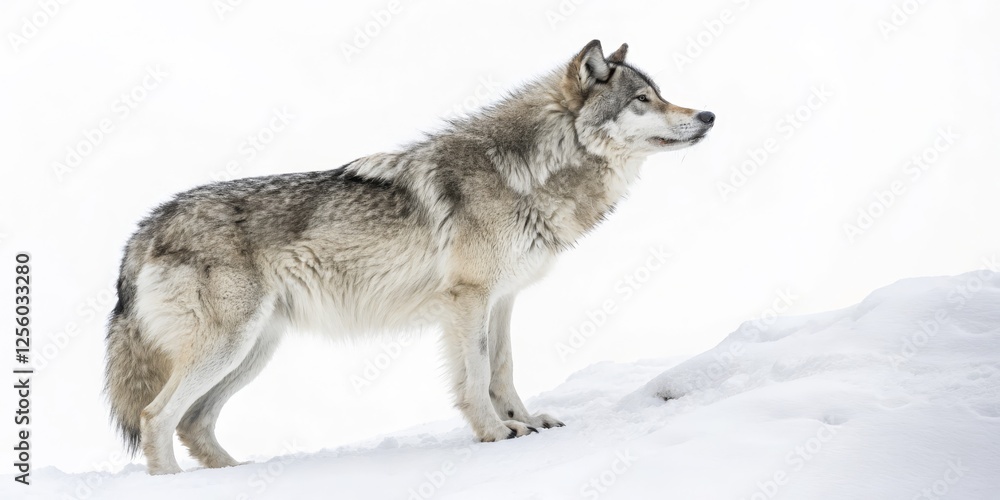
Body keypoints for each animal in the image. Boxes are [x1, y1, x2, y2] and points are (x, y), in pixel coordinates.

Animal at [104, 40, 714, 474]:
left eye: (660, 93)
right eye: (643, 100)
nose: (708, 115)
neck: (530, 171)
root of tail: (146, 226)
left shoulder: (502, 300)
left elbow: (503, 369)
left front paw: (524, 422)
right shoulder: (468, 300)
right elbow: (475, 375)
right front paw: (494, 434)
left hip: (253, 351)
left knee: (195, 424)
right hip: (228, 347)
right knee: (157, 416)